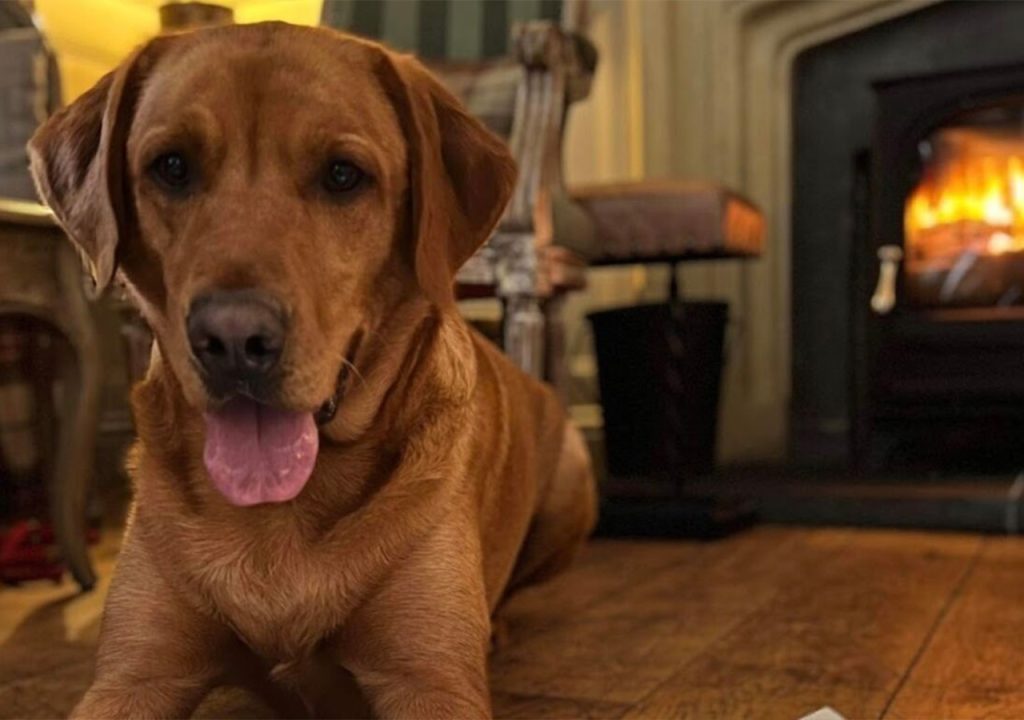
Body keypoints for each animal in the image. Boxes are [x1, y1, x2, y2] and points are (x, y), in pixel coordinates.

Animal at [32, 22, 598, 720]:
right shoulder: (135, 675)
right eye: (172, 166)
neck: (279, 519)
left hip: (572, 487)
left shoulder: (428, 678)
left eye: (342, 175)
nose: (234, 338)